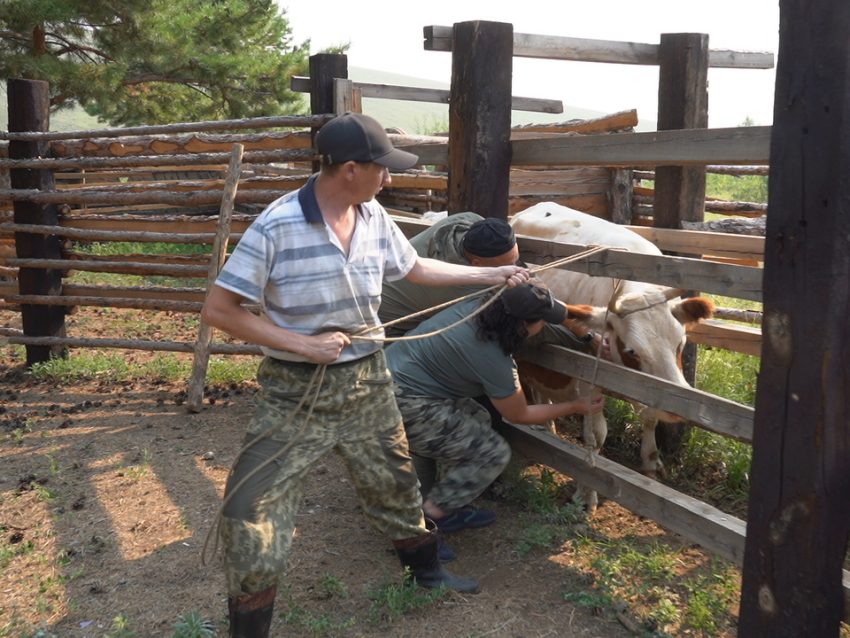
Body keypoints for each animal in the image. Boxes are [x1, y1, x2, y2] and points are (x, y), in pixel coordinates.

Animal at [506, 202, 712, 508]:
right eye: (632, 351)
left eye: (680, 342)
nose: (674, 410)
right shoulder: (586, 380)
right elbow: (596, 436)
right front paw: (586, 492)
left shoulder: (649, 386)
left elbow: (649, 416)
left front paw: (651, 462)